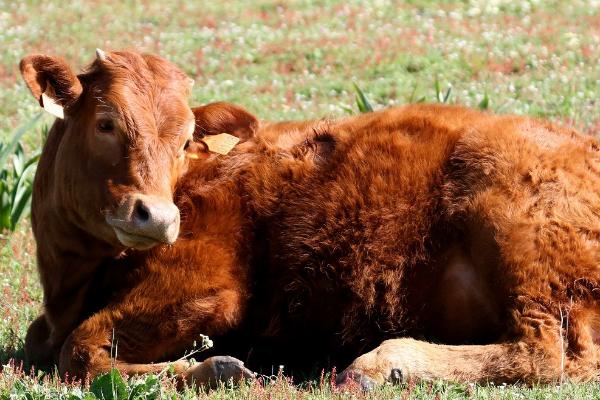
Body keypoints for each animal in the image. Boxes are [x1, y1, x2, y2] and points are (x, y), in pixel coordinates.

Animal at [18, 49, 600, 388]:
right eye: (105, 122)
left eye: (185, 140)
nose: (158, 218)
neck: (71, 285)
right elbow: (45, 345)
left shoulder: (203, 287)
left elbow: (80, 351)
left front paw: (213, 368)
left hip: (518, 234)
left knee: (549, 351)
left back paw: (380, 363)